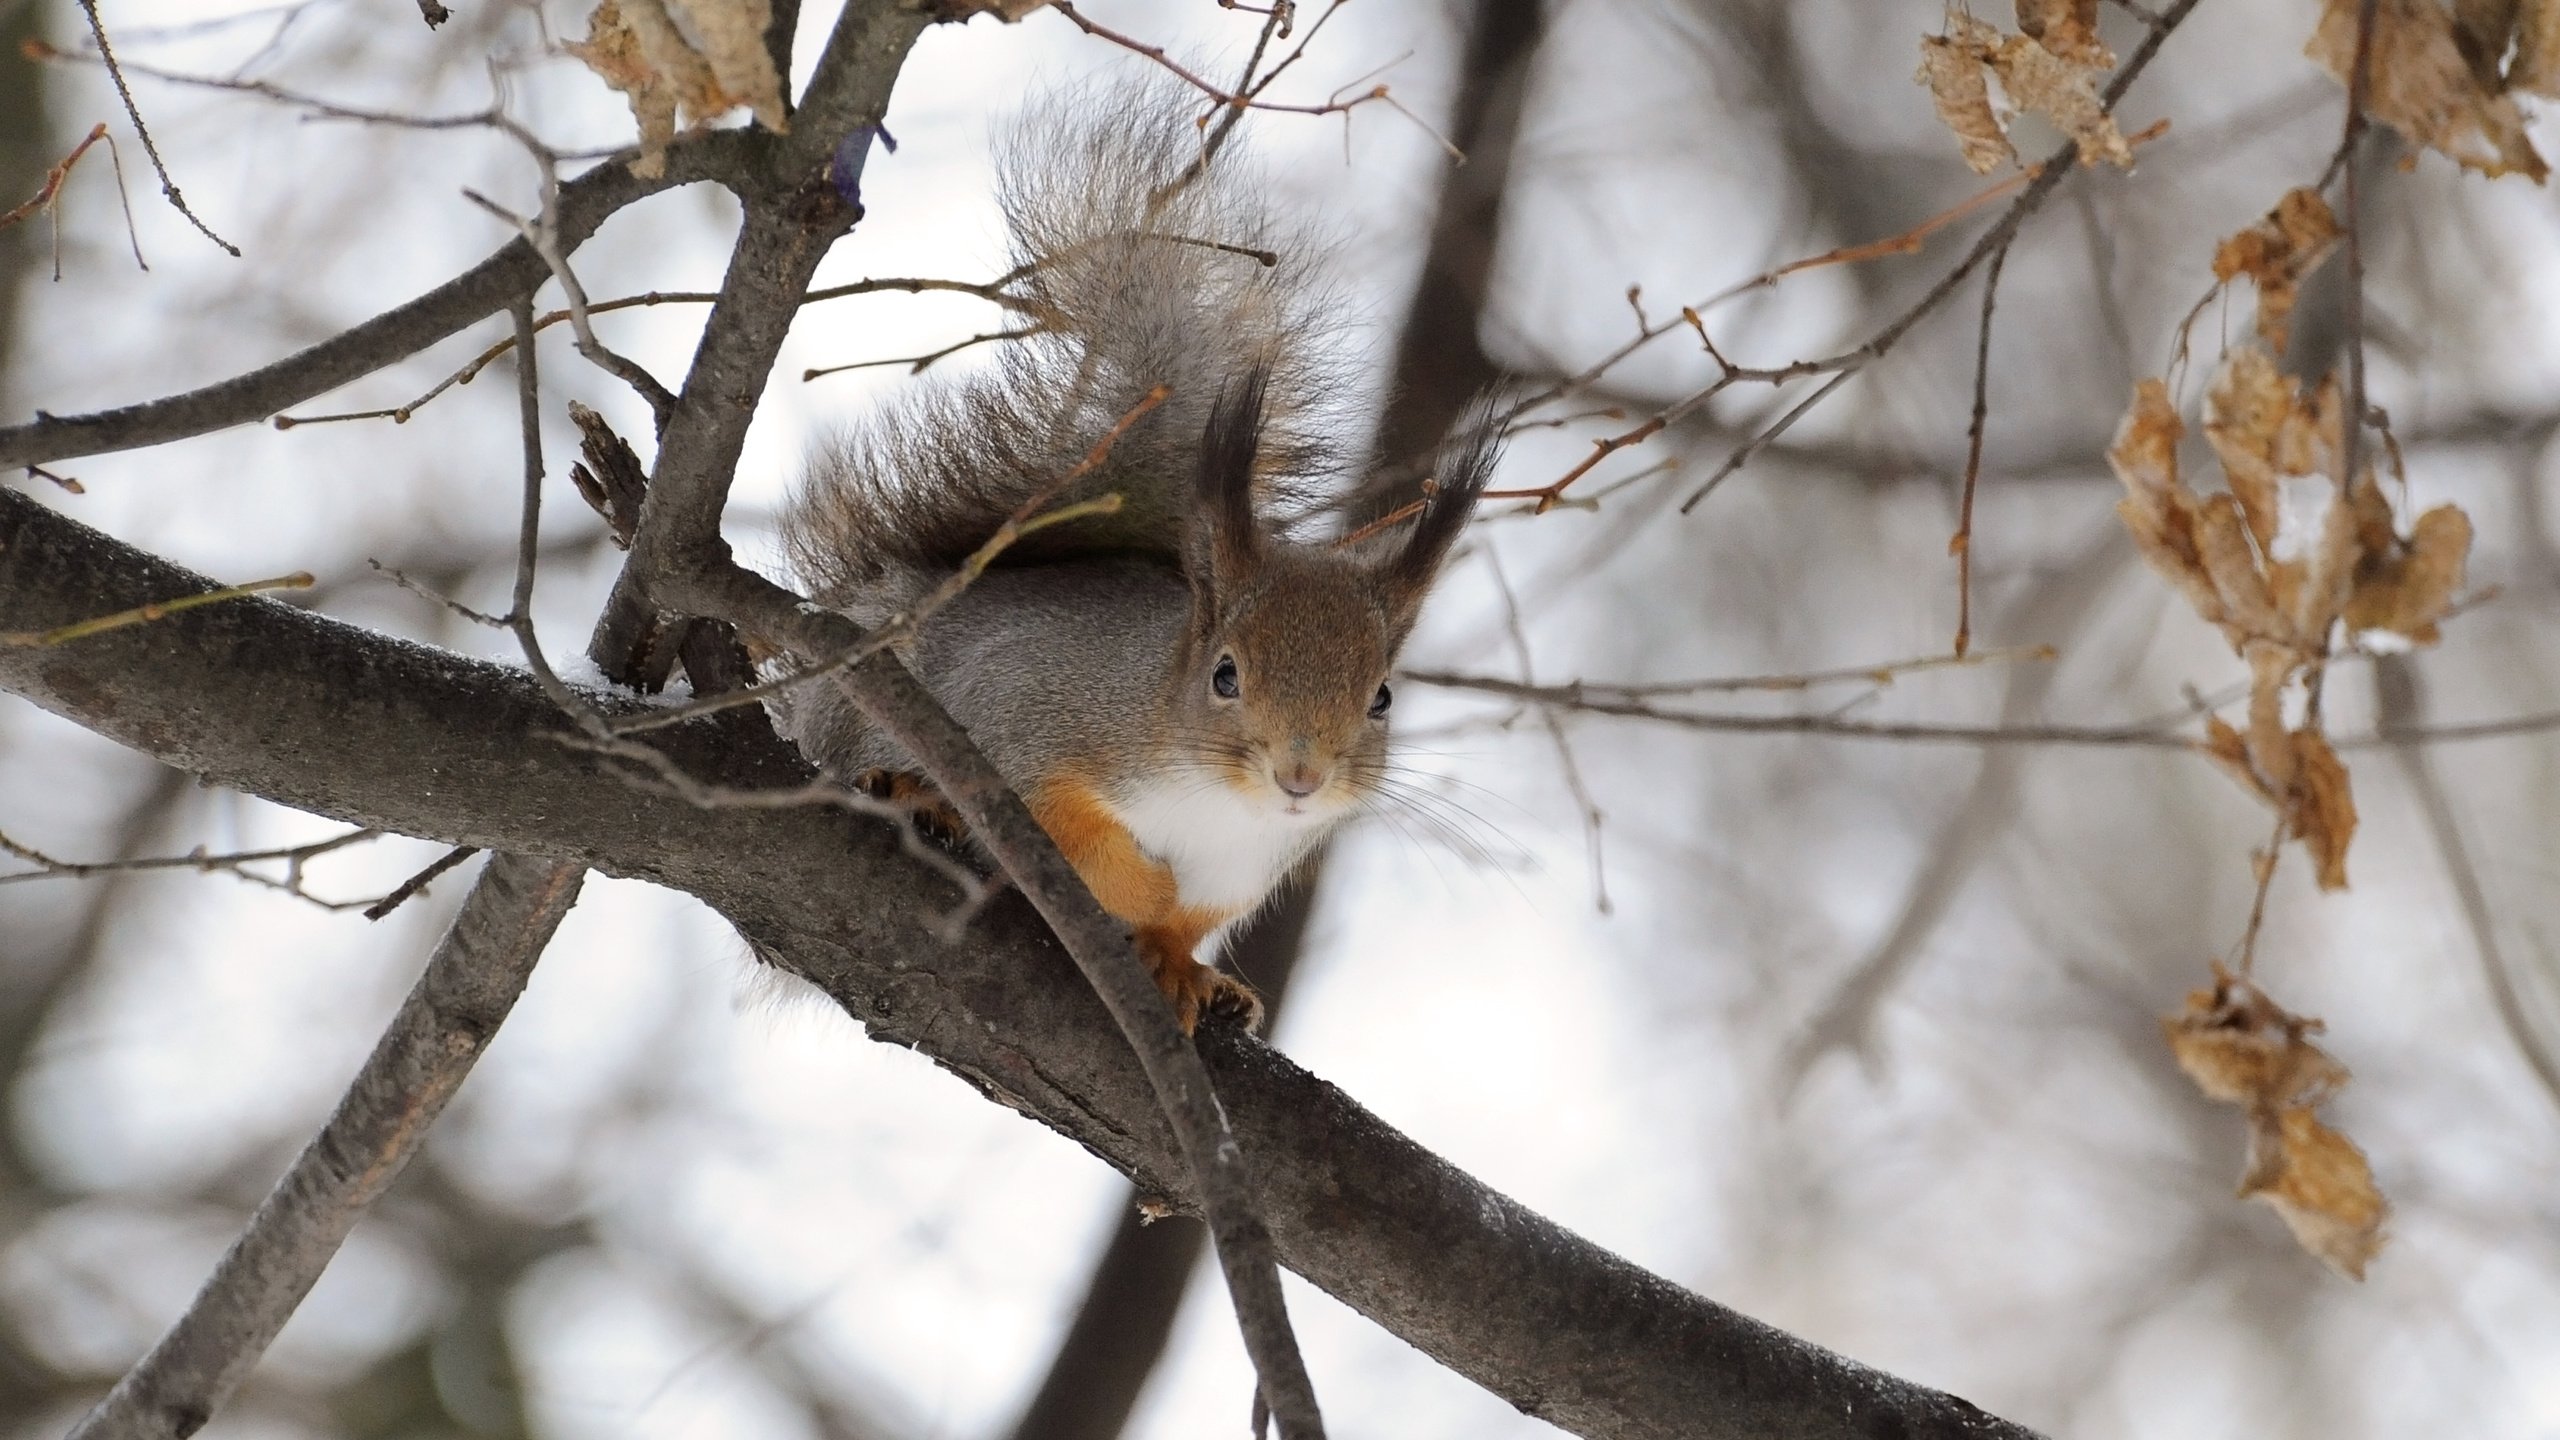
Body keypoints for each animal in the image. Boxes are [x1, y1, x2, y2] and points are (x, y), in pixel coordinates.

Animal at [778, 81, 1495, 1030]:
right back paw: (914, 795)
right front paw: (1142, 891)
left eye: (1381, 697)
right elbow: (1071, 834)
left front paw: (1180, 959)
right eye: (1224, 674)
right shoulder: (1030, 714)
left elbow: (1194, 918)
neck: (1220, 804)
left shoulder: (1246, 869)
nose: (1300, 776)